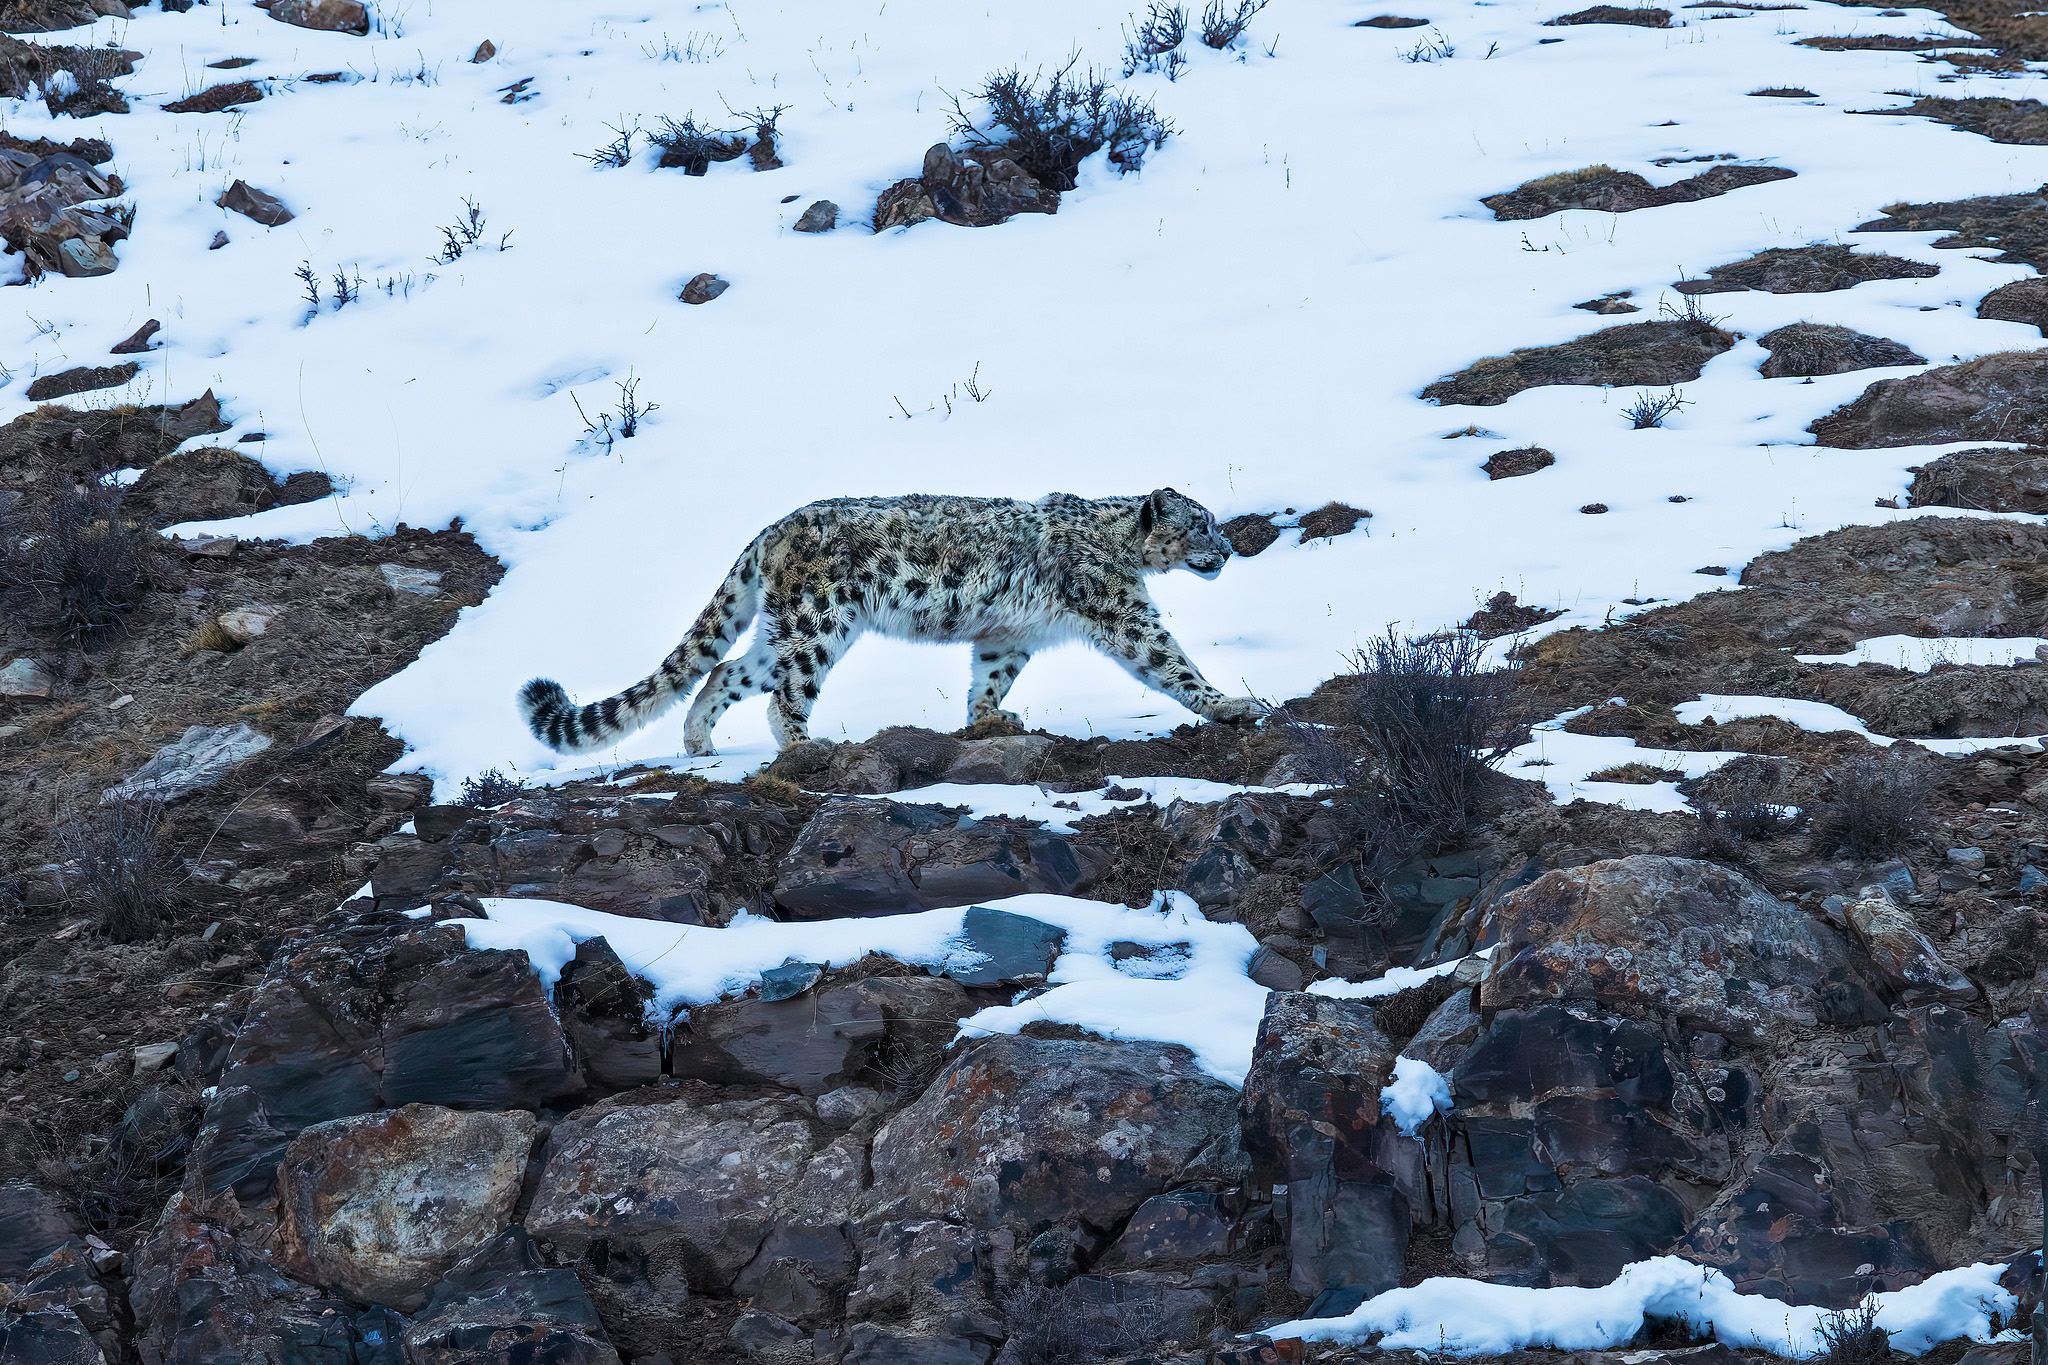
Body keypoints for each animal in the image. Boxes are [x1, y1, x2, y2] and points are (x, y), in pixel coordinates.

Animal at [519, 488, 1266, 758]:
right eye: (1202, 521)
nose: (1230, 549)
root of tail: (771, 530)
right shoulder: (1123, 612)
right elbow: (1171, 661)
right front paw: (1233, 704)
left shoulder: (1008, 637)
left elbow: (989, 679)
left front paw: (990, 719)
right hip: (820, 622)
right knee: (784, 695)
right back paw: (806, 745)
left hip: (784, 631)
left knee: (728, 671)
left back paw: (699, 742)